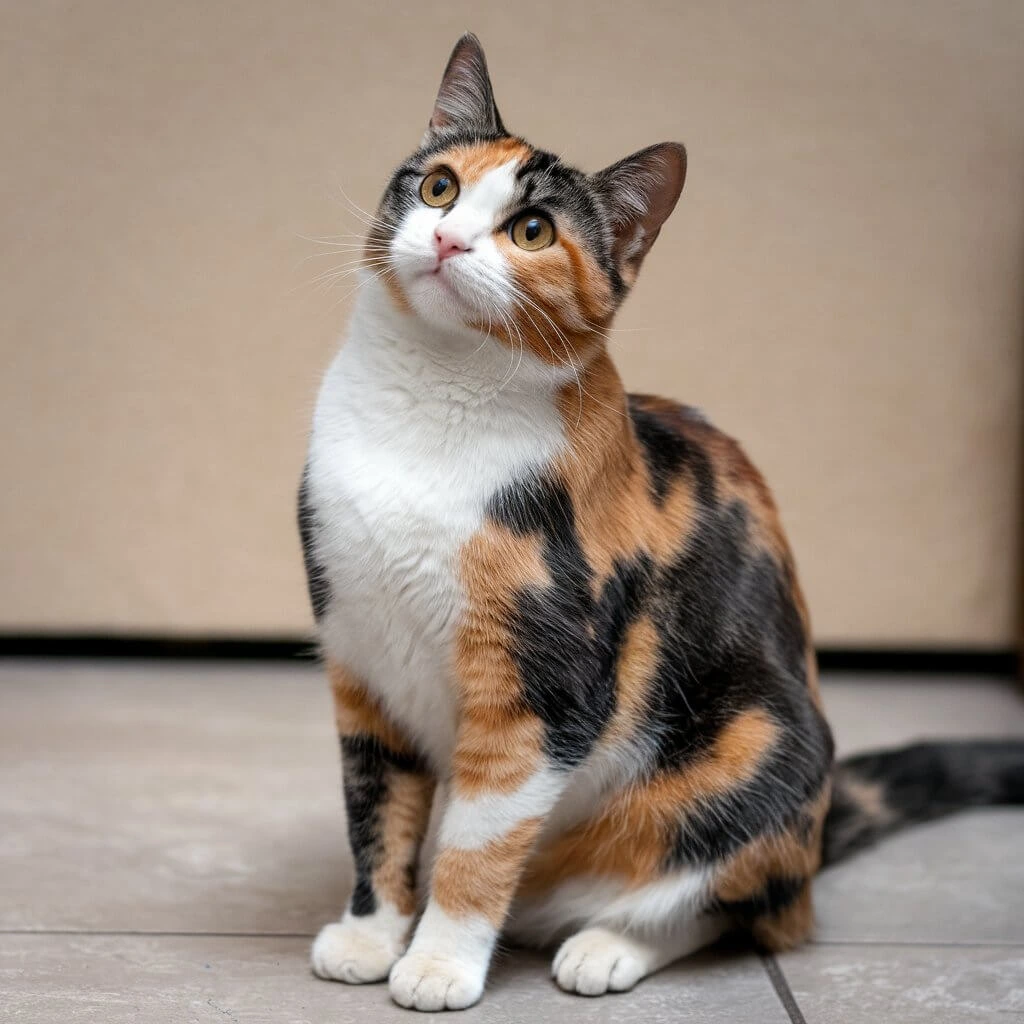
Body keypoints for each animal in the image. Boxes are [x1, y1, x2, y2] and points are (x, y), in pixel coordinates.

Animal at [296, 34, 1024, 1015]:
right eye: (440, 186)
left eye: (533, 231)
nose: (446, 238)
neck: (424, 410)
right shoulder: (363, 661)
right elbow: (376, 808)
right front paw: (371, 935)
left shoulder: (543, 688)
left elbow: (476, 847)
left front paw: (440, 963)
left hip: (761, 752)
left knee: (741, 910)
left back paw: (605, 947)